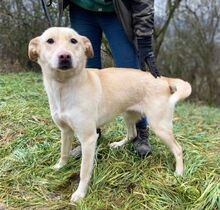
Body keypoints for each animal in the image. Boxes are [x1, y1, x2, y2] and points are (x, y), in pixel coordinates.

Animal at [28, 27, 192, 202]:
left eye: (74, 41)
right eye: (50, 41)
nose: (65, 56)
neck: (63, 86)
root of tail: (162, 79)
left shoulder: (88, 139)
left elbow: (84, 171)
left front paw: (80, 193)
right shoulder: (65, 131)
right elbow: (64, 152)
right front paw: (59, 166)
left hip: (159, 126)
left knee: (178, 149)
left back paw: (179, 173)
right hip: (128, 114)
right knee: (132, 133)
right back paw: (118, 144)